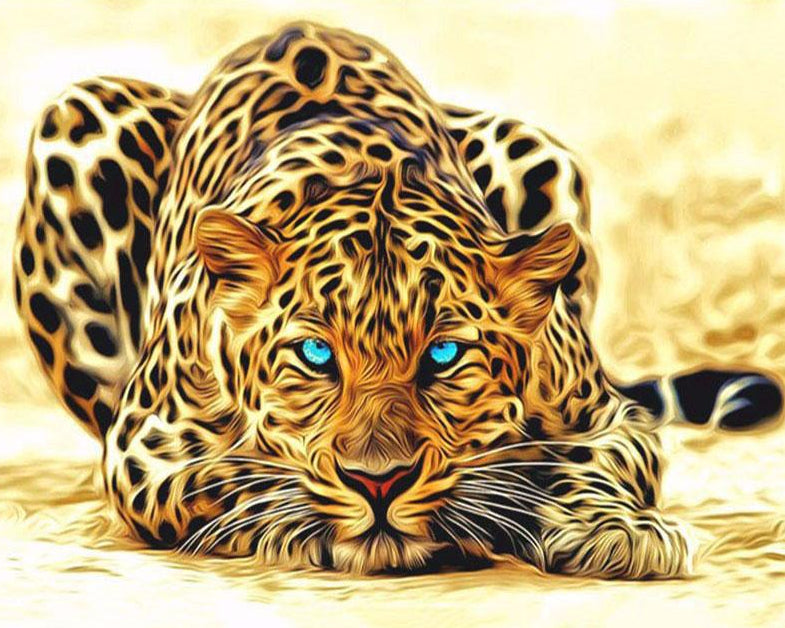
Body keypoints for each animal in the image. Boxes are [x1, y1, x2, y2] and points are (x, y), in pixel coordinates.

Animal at [13, 21, 783, 577]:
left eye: (443, 355)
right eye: (315, 354)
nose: (378, 483)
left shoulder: (607, 417)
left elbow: (592, 461)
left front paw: (614, 528)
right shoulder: (146, 445)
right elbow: (234, 476)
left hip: (537, 149)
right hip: (75, 118)